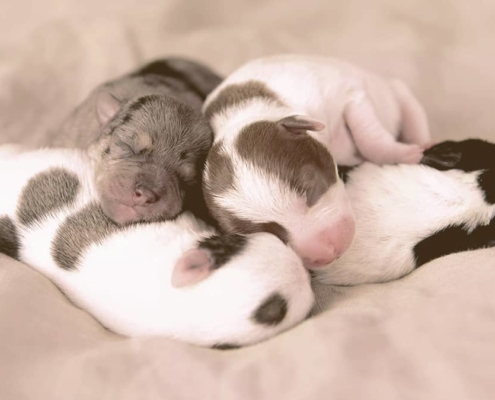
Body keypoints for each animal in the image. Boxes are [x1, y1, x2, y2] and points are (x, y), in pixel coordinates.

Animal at [202, 54, 430, 268]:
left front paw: (404, 154)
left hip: (398, 92)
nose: (329, 253)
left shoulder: (348, 94)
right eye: (269, 232)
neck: (240, 115)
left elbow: (368, 136)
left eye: (310, 190)